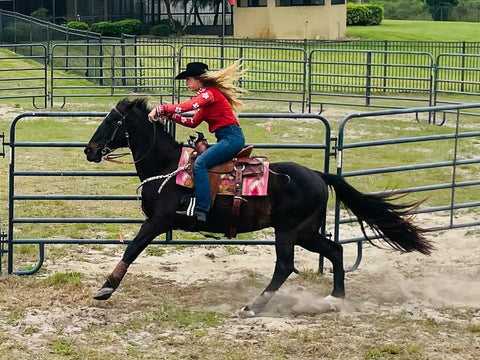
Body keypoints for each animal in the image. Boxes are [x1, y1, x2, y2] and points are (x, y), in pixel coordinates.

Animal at [84, 97, 434, 316]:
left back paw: (253, 306)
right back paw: (334, 299)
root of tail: (318, 174)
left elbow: (132, 248)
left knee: (285, 266)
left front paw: (105, 288)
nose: (89, 150)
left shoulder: (158, 221)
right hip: (306, 232)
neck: (169, 166)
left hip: (288, 231)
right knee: (335, 251)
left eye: (112, 120)